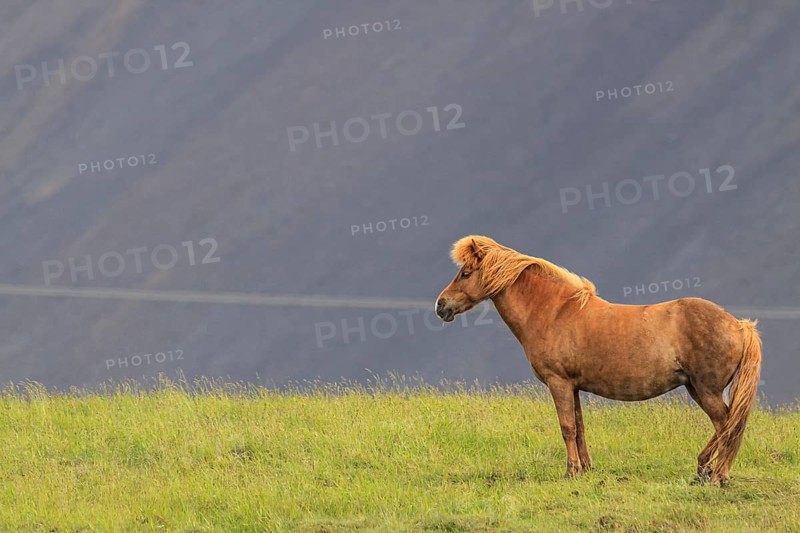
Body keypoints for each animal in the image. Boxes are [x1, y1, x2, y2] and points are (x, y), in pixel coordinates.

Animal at [434, 235, 762, 485]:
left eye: (466, 273)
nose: (441, 306)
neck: (555, 312)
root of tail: (739, 325)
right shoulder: (573, 387)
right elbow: (579, 426)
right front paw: (585, 469)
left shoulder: (558, 383)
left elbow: (566, 426)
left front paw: (570, 472)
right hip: (695, 388)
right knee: (726, 425)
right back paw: (704, 467)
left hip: (706, 390)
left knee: (727, 424)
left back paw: (717, 475)